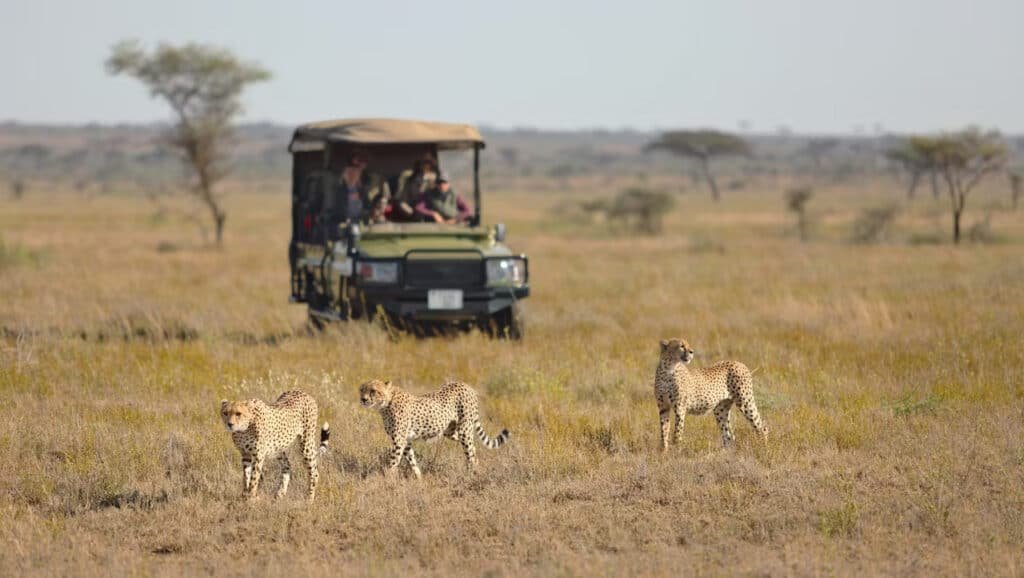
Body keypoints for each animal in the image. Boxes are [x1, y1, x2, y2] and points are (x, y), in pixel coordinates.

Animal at [358, 379, 509, 478]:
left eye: (373, 391)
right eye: (362, 390)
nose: (363, 399)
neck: (386, 403)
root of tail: (465, 384)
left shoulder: (399, 440)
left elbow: (393, 461)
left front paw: (387, 479)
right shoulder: (406, 441)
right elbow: (411, 460)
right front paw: (419, 479)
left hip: (464, 429)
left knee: (470, 451)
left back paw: (471, 474)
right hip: (451, 431)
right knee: (473, 448)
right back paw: (474, 468)